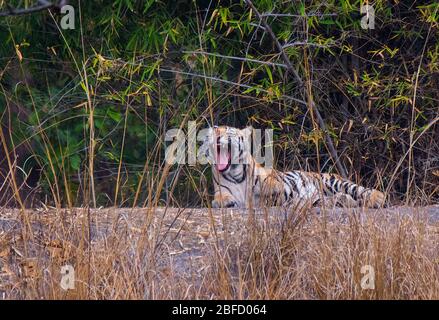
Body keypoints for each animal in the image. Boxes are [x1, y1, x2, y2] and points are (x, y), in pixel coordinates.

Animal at [205, 125, 386, 210]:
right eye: (215, 130)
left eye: (228, 131)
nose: (215, 134)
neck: (235, 173)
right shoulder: (220, 190)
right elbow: (219, 197)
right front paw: (225, 202)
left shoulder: (275, 182)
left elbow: (271, 184)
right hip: (322, 195)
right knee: (329, 200)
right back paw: (345, 200)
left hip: (333, 181)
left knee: (361, 189)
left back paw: (376, 199)